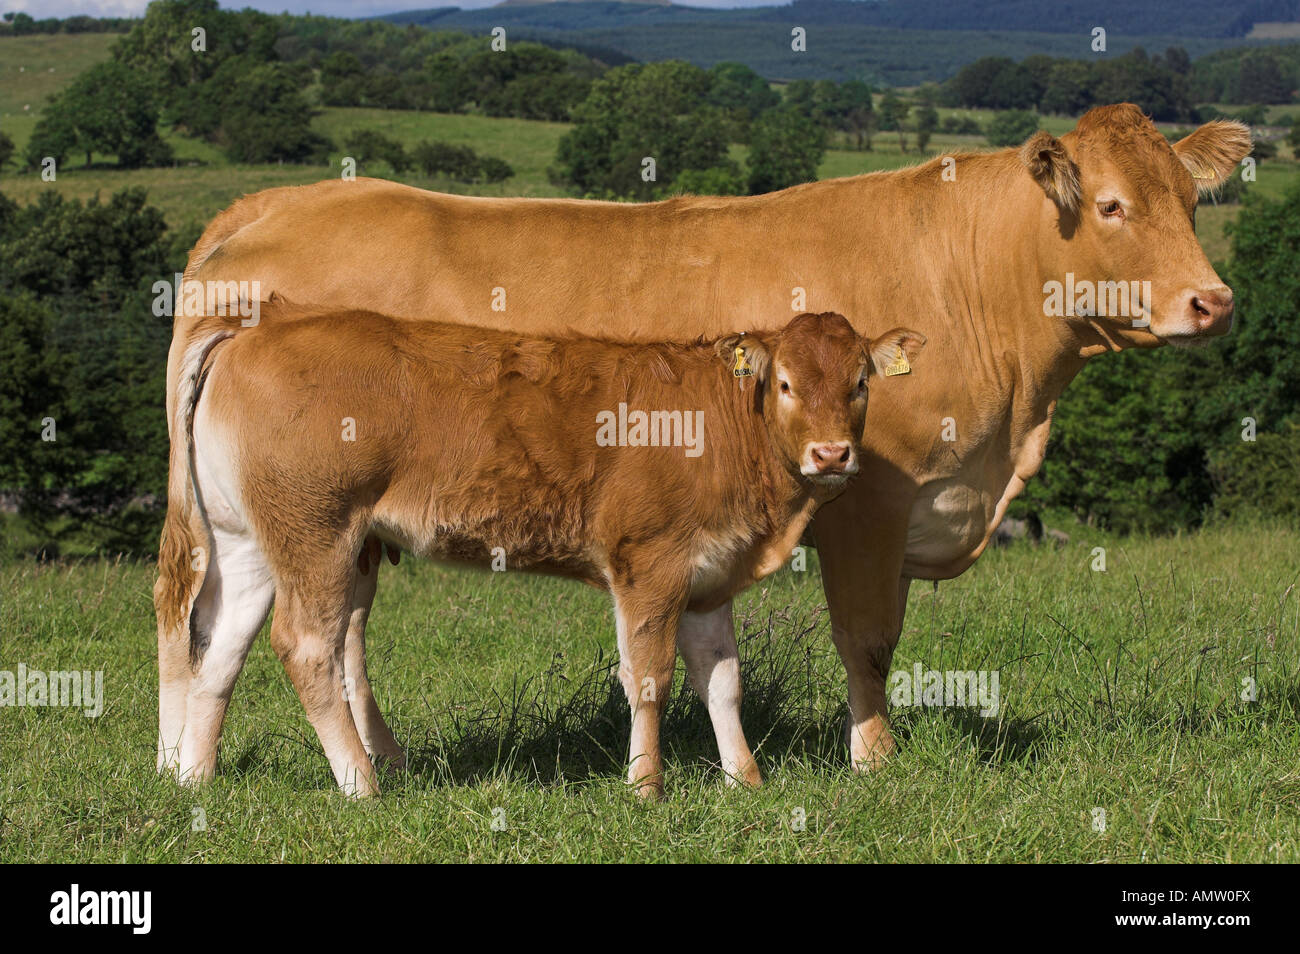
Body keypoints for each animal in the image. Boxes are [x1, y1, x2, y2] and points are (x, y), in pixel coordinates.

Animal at [170, 308, 925, 800]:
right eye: (787, 383)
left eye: (860, 382)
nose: (831, 453)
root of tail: (251, 330)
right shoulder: (649, 564)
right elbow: (649, 678)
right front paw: (645, 786)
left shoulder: (709, 577)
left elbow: (722, 680)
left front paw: (746, 779)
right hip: (318, 534)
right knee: (305, 646)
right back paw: (362, 785)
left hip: (250, 544)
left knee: (221, 650)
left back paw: (195, 778)